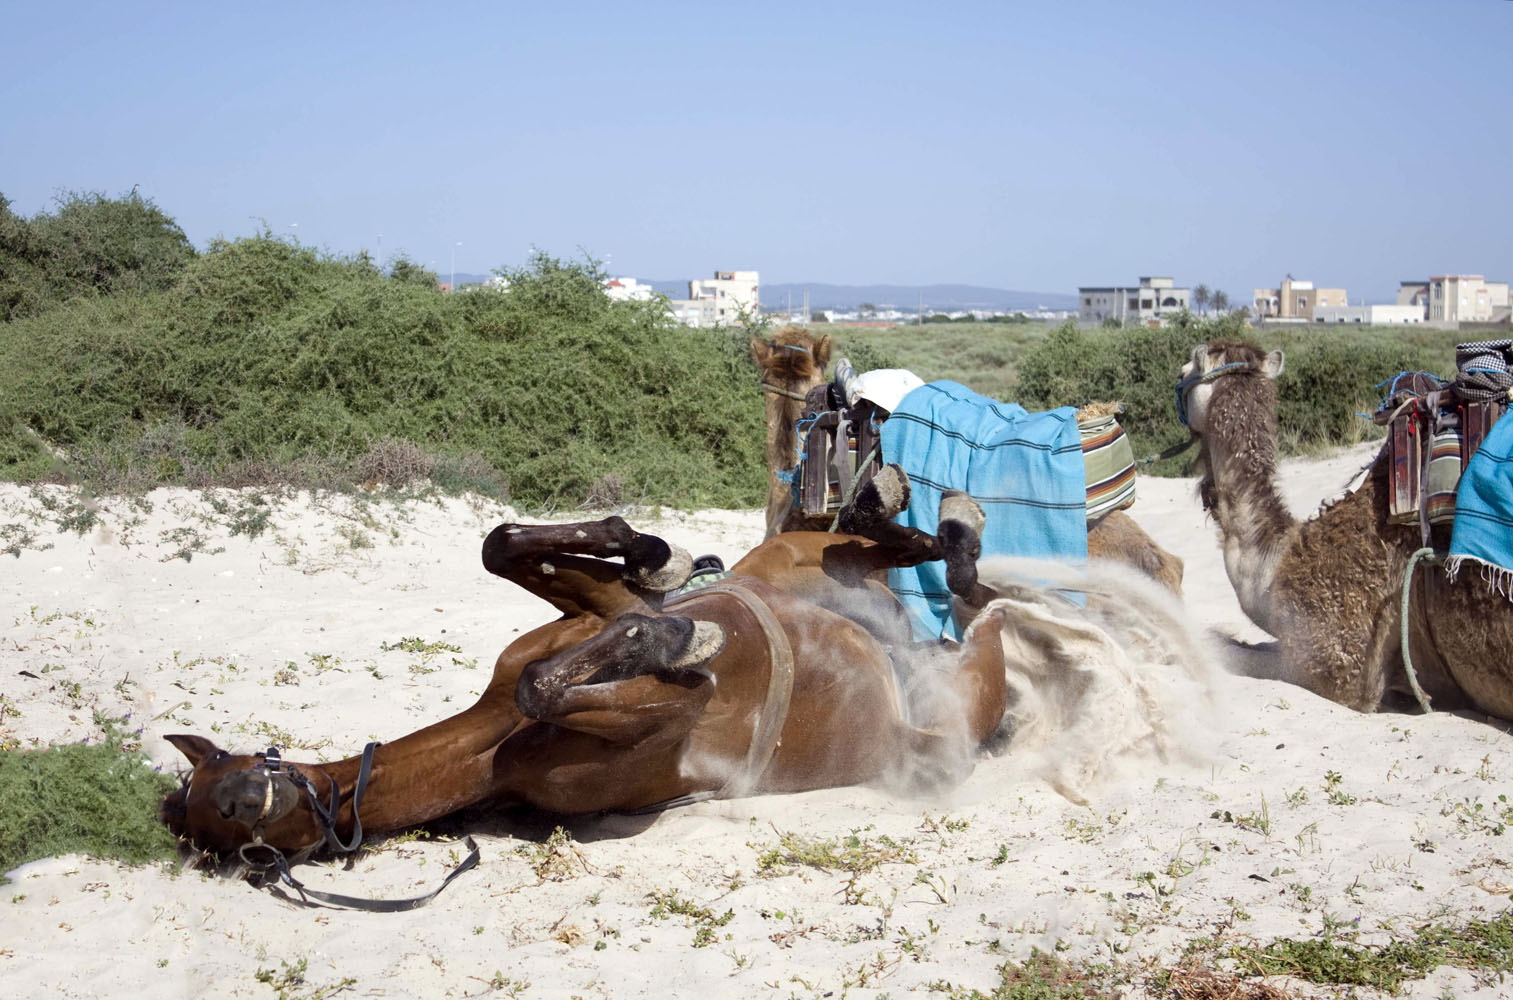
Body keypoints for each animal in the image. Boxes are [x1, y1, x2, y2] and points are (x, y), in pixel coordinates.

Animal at [162, 468, 1016, 859]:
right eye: (219, 827)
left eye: (228, 767)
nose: (238, 795)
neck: (487, 748)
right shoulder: (669, 715)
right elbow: (549, 683)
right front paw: (675, 632)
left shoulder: (593, 616)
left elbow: (503, 547)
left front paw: (649, 553)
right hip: (952, 702)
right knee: (964, 593)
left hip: (809, 558)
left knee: (920, 551)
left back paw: (914, 502)